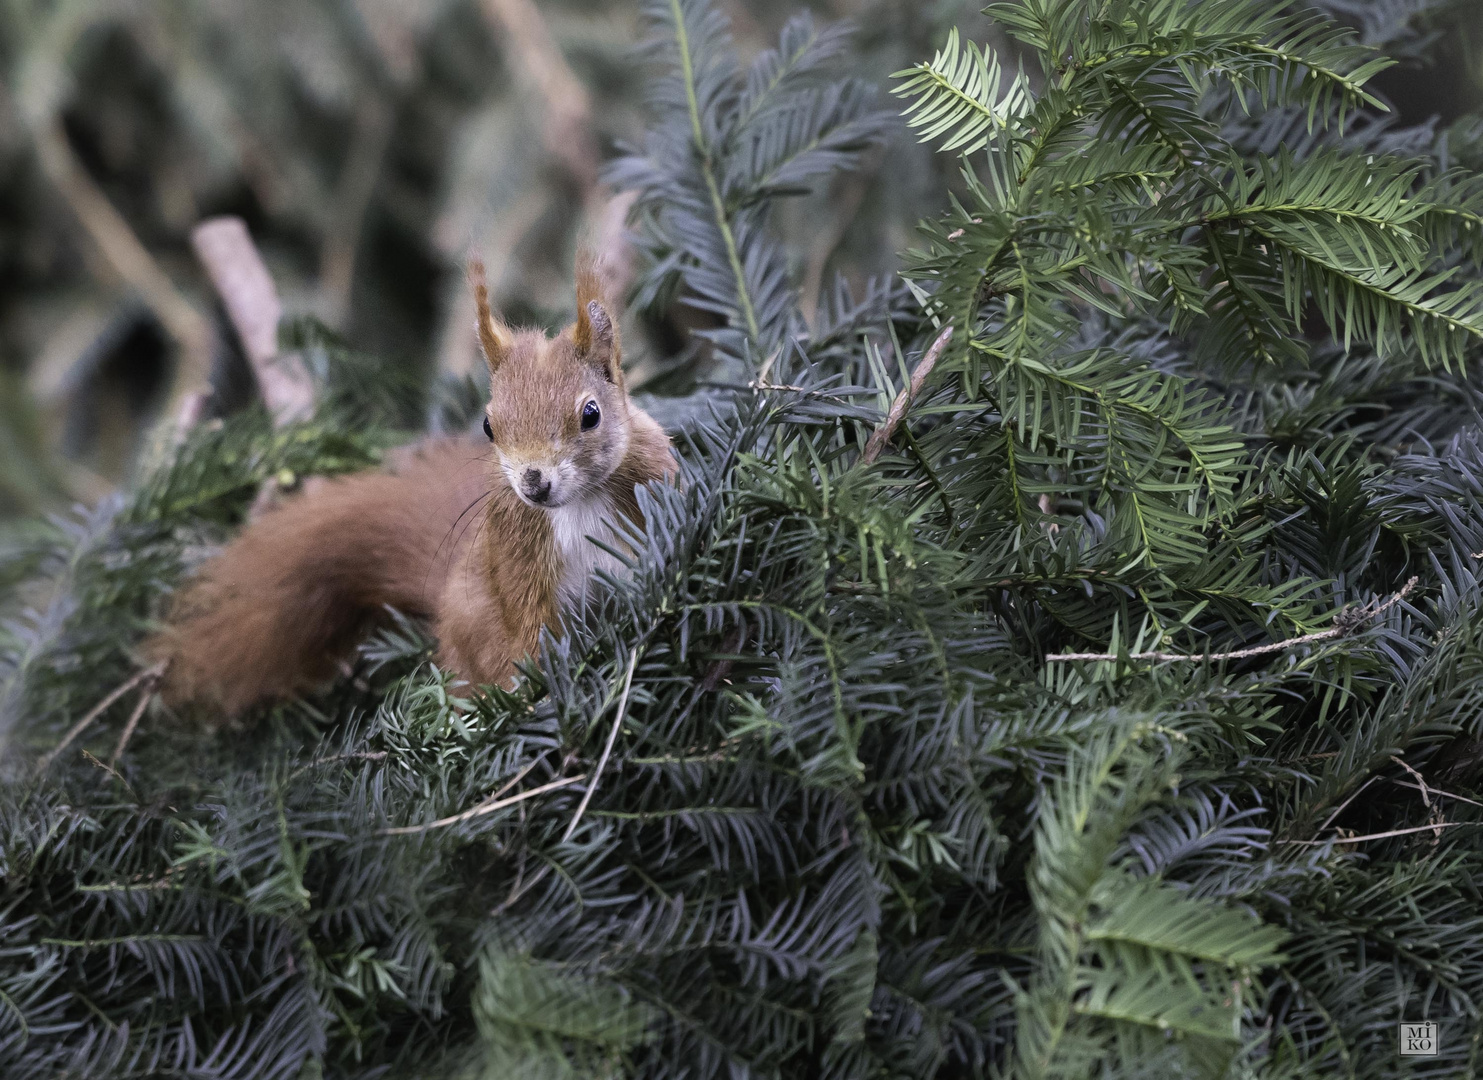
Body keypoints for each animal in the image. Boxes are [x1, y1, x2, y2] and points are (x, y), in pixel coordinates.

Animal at [152, 256, 679, 712]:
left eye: (591, 414)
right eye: (488, 426)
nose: (533, 482)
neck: (579, 503)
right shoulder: (516, 554)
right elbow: (527, 624)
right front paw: (541, 688)